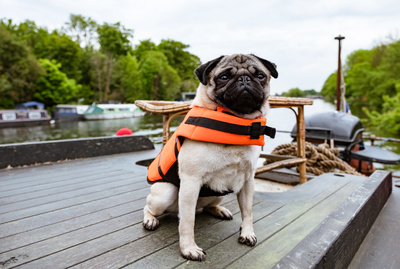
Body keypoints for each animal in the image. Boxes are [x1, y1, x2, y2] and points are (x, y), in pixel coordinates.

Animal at [143, 53, 278, 260]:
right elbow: (187, 222)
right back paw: (150, 219)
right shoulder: (191, 182)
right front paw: (188, 249)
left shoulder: (247, 181)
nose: (244, 79)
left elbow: (248, 211)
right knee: (150, 207)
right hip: (165, 193)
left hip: (218, 193)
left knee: (207, 206)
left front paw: (247, 233)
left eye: (260, 76)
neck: (234, 122)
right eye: (224, 77)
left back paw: (219, 210)